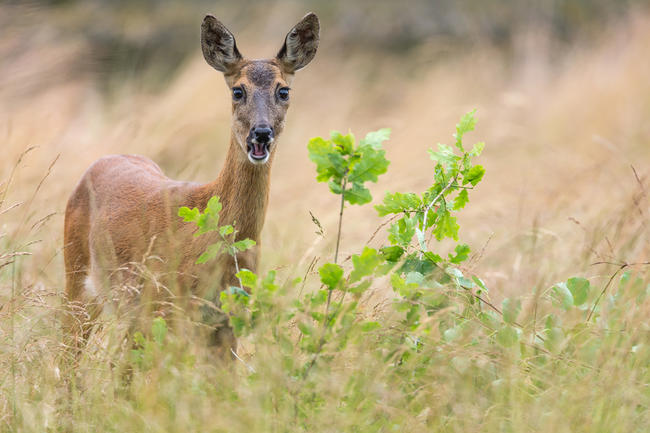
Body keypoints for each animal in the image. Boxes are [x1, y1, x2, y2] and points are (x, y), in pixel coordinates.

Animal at [62, 13, 320, 358]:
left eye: (284, 91)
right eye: (238, 91)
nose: (261, 133)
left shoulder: (227, 320)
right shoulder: (160, 308)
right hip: (80, 280)